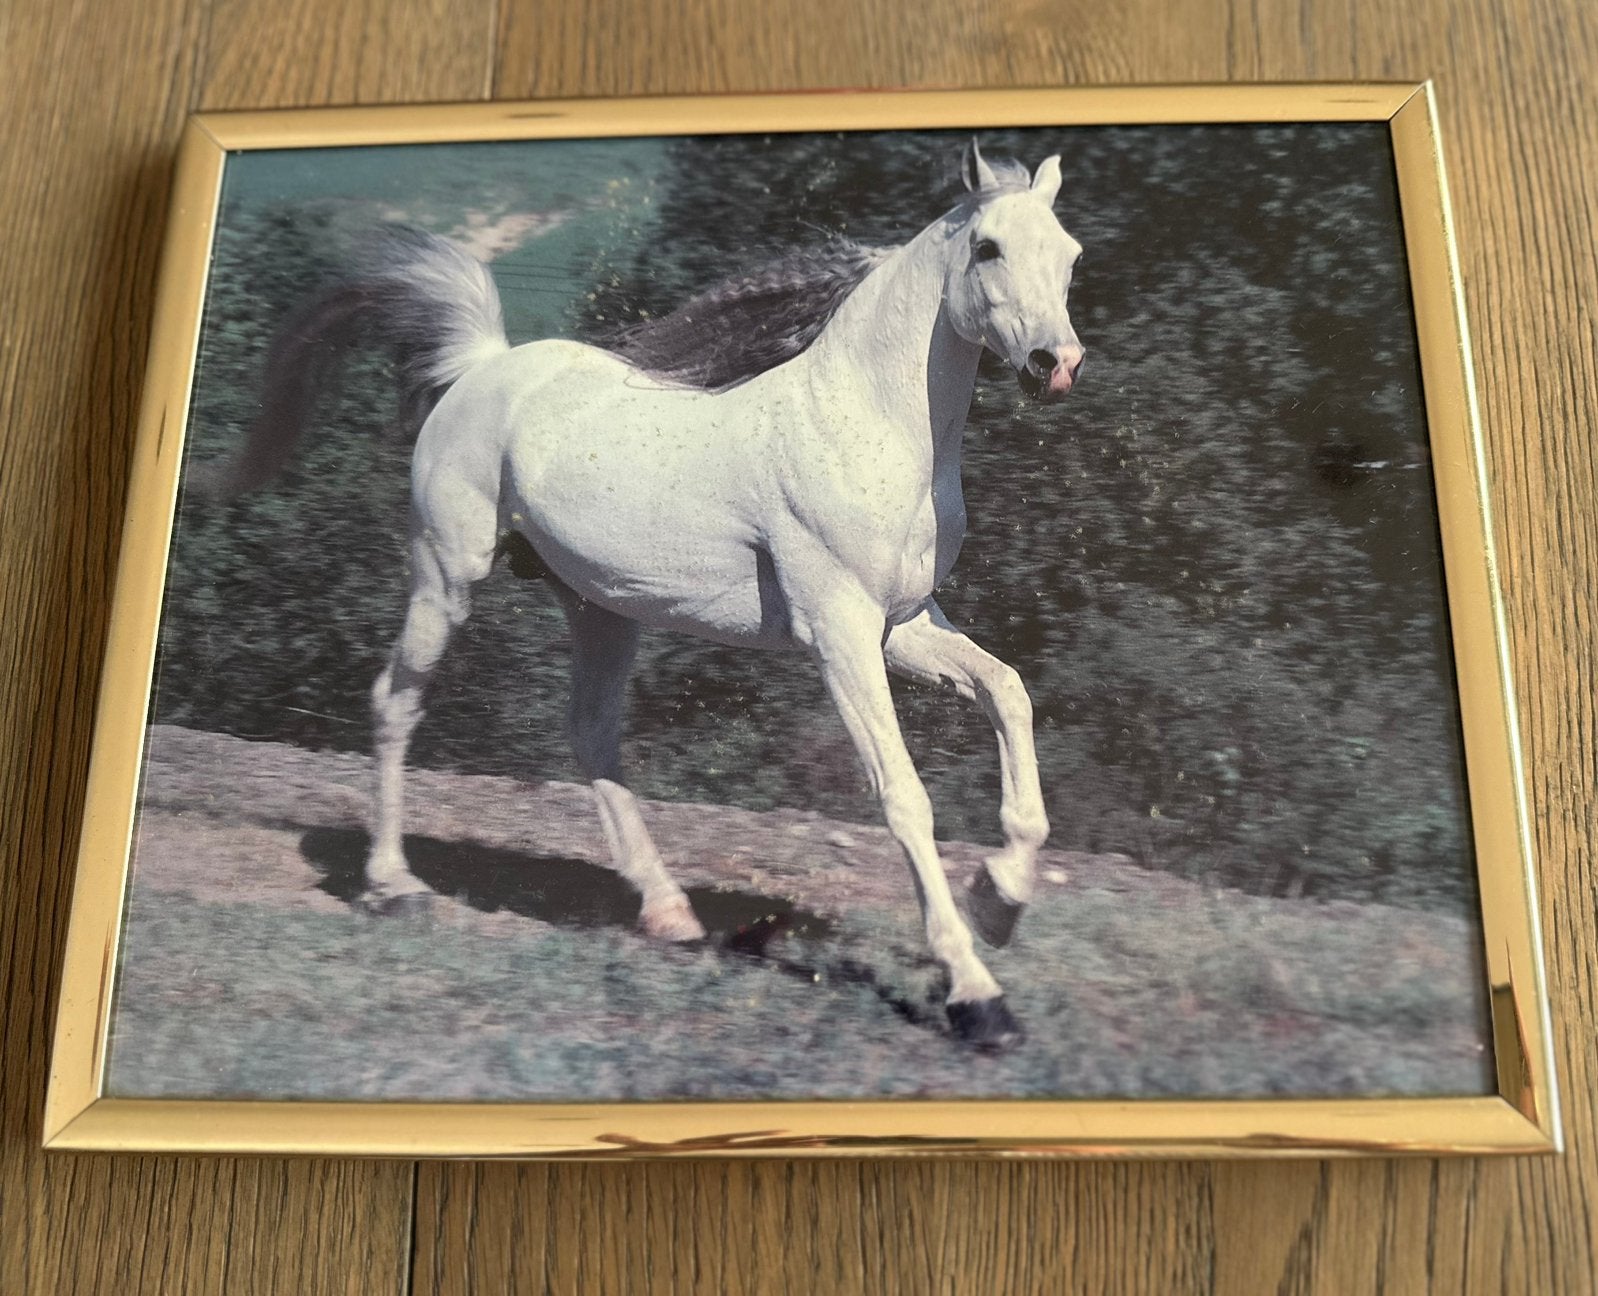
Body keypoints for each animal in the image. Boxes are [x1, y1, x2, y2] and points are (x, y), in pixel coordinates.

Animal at [204, 139, 1086, 1051]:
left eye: (1070, 256)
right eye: (987, 248)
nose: (1055, 366)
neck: (864, 426)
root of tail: (483, 366)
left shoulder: (903, 626)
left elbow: (1009, 693)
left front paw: (1000, 900)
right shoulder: (839, 633)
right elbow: (903, 794)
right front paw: (978, 996)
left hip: (600, 609)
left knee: (591, 736)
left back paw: (669, 914)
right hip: (446, 577)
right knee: (395, 702)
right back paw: (393, 889)